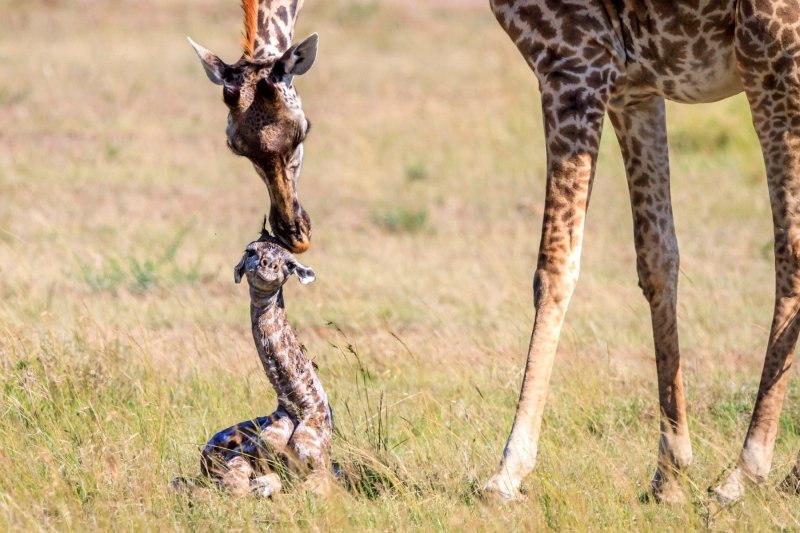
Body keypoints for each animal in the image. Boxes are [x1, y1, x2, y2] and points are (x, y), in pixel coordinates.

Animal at [484, 0, 800, 504]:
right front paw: (669, 472)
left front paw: (508, 470)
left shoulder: (571, 63)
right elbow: (657, 256)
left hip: (772, 56)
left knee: (791, 245)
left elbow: (555, 264)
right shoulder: (633, 90)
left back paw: (743, 471)